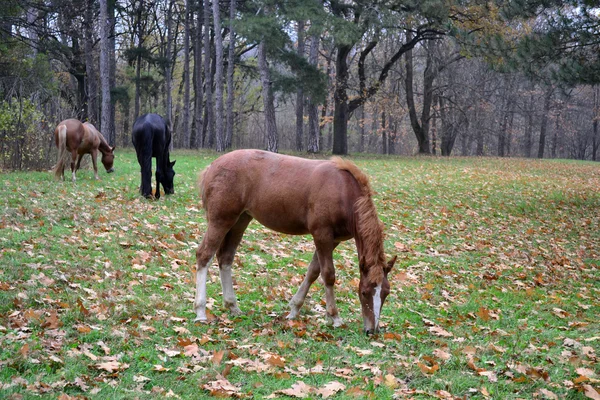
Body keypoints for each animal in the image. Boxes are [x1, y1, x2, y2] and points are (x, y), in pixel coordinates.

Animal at [195, 148, 396, 332]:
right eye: (364, 292)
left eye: (386, 293)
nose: (372, 330)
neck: (343, 191)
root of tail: (211, 167)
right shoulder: (322, 234)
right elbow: (328, 274)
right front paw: (334, 317)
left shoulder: (333, 240)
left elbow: (313, 272)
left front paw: (294, 309)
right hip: (221, 220)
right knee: (204, 255)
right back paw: (200, 312)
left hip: (240, 220)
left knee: (225, 258)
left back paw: (233, 306)